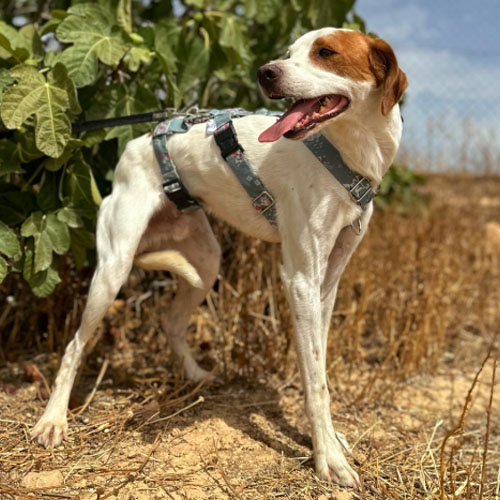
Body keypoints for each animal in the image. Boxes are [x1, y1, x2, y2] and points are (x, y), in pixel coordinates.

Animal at [31, 28, 407, 489]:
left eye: (326, 52)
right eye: (288, 54)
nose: (265, 72)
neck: (349, 152)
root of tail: (140, 140)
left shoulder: (328, 280)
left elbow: (320, 370)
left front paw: (330, 439)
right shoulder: (301, 278)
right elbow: (314, 381)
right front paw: (328, 459)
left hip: (206, 263)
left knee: (172, 323)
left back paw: (195, 376)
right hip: (113, 268)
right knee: (74, 346)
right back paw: (52, 420)